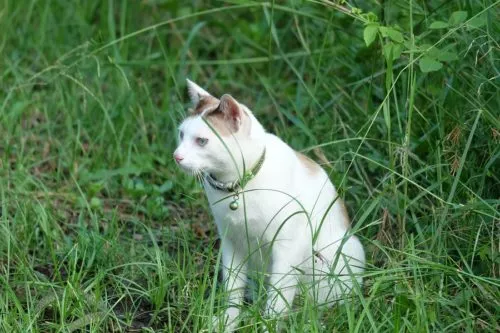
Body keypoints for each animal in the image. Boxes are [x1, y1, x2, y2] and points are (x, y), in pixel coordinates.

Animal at [174, 79, 366, 330]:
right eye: (181, 134)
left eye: (202, 141)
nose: (176, 156)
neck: (237, 187)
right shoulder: (231, 241)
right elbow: (233, 289)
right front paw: (228, 321)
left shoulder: (287, 247)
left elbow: (277, 299)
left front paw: (267, 326)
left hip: (343, 252)